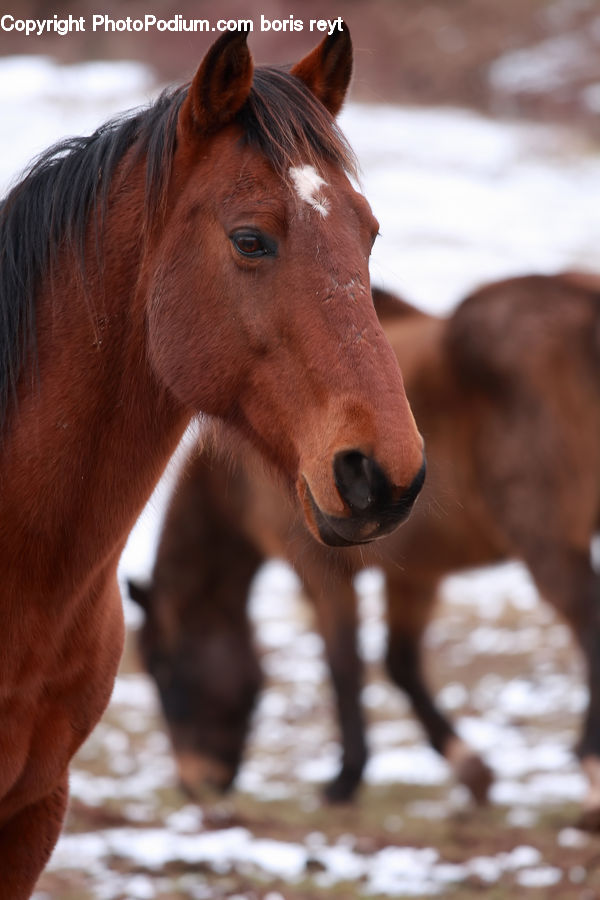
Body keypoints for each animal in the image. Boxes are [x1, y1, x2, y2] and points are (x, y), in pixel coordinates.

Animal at [129, 272, 600, 829]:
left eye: (163, 667)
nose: (194, 783)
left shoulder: (319, 567)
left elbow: (344, 664)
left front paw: (344, 780)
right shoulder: (415, 575)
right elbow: (400, 664)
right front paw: (472, 770)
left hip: (546, 542)